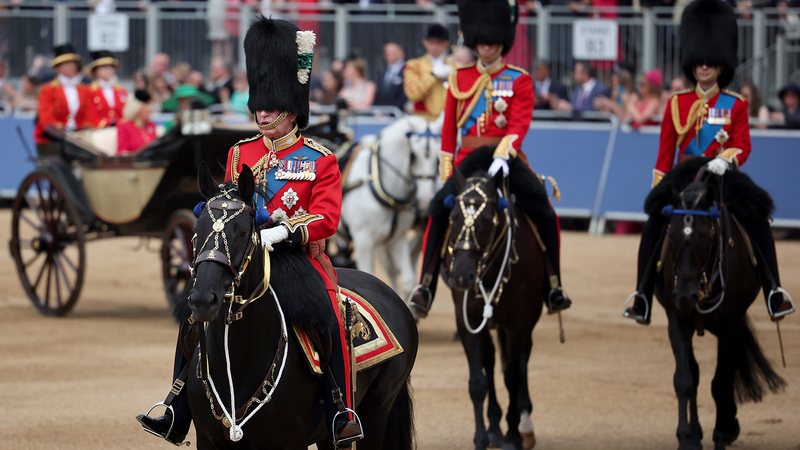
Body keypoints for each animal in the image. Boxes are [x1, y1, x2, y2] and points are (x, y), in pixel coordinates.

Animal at [184, 165, 416, 450]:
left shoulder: (290, 441)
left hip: (376, 412)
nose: (203, 299)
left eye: (243, 233)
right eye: (197, 230)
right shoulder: (207, 439)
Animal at [336, 115, 440, 298]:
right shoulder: (363, 240)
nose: (426, 199)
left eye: (437, 158)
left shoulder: (397, 239)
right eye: (413, 155)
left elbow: (407, 280)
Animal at [440, 169, 548, 450]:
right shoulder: (466, 320)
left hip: (527, 321)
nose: (461, 276)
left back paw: (522, 424)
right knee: (490, 360)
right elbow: (478, 382)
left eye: (487, 220)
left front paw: (513, 436)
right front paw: (481, 437)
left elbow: (512, 375)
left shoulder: (518, 323)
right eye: (453, 217)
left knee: (521, 361)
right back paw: (494, 428)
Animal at [648, 163, 784, 450]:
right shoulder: (677, 320)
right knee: (695, 373)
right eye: (671, 233)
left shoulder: (730, 323)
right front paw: (686, 438)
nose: (686, 296)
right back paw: (697, 432)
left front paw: (722, 433)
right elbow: (685, 379)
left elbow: (721, 381)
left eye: (704, 235)